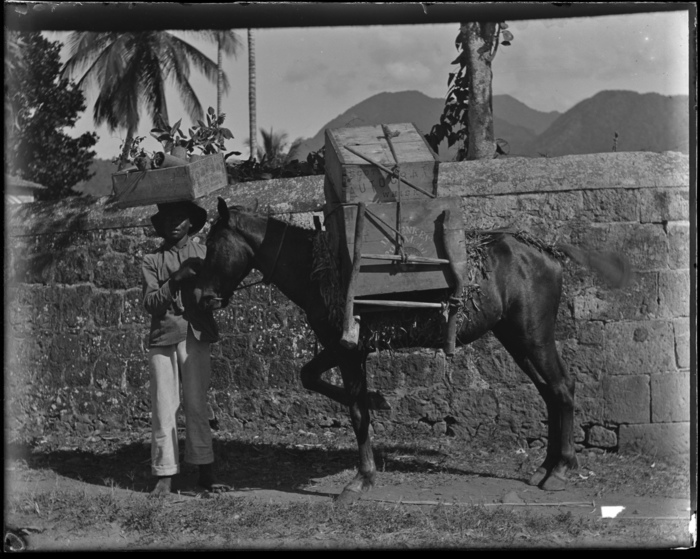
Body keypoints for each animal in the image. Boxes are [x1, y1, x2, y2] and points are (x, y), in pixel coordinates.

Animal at [194, 197, 631, 503]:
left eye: (212, 244)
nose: (204, 297)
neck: (319, 269)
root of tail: (546, 250)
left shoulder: (349, 351)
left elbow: (356, 412)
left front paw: (362, 477)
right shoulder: (341, 347)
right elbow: (312, 378)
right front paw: (379, 400)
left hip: (533, 336)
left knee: (562, 387)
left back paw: (561, 469)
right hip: (515, 338)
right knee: (549, 392)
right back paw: (548, 464)